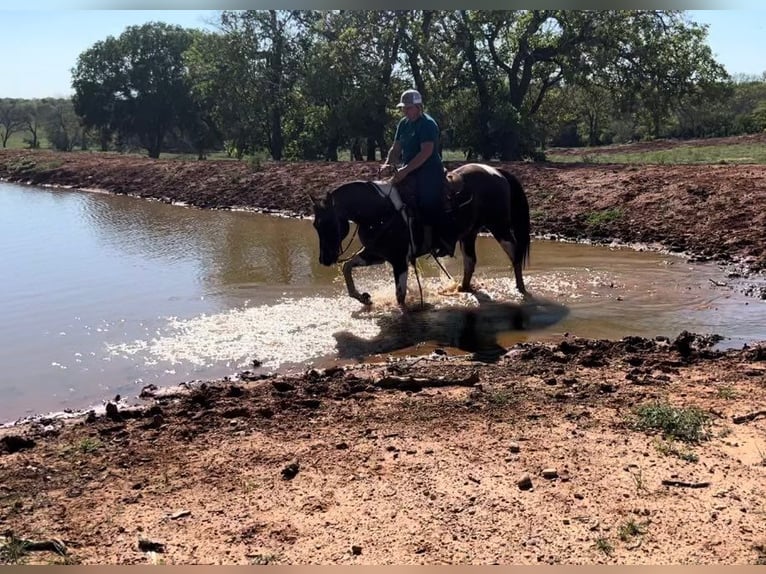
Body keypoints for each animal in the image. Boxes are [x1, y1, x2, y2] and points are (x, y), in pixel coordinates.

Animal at [308, 163, 532, 310]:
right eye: (315, 225)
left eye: (328, 223)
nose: (324, 259)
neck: (380, 211)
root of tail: (496, 171)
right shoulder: (376, 254)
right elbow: (347, 267)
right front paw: (363, 297)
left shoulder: (399, 260)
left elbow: (400, 296)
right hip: (469, 234)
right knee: (470, 261)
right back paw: (462, 288)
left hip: (499, 227)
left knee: (515, 253)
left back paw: (520, 289)